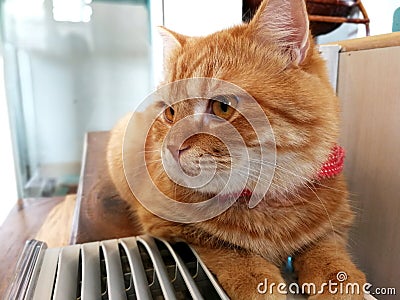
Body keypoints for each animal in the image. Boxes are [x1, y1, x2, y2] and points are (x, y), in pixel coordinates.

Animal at [106, 0, 366, 298]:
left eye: (222, 106)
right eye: (170, 112)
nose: (171, 147)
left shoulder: (336, 222)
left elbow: (326, 248)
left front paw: (339, 279)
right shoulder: (165, 225)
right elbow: (227, 247)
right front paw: (257, 280)